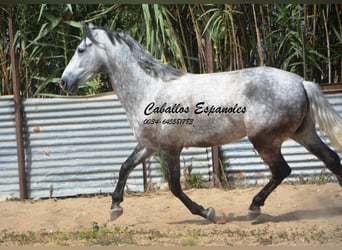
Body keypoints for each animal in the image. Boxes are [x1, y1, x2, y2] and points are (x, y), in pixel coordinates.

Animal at [61, 23, 342, 223]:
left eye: (80, 50)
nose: (63, 82)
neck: (150, 89)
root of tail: (301, 82)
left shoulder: (170, 149)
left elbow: (174, 187)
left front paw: (207, 212)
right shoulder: (149, 146)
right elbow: (124, 168)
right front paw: (115, 208)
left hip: (265, 140)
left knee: (282, 170)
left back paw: (253, 209)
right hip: (303, 133)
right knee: (331, 159)